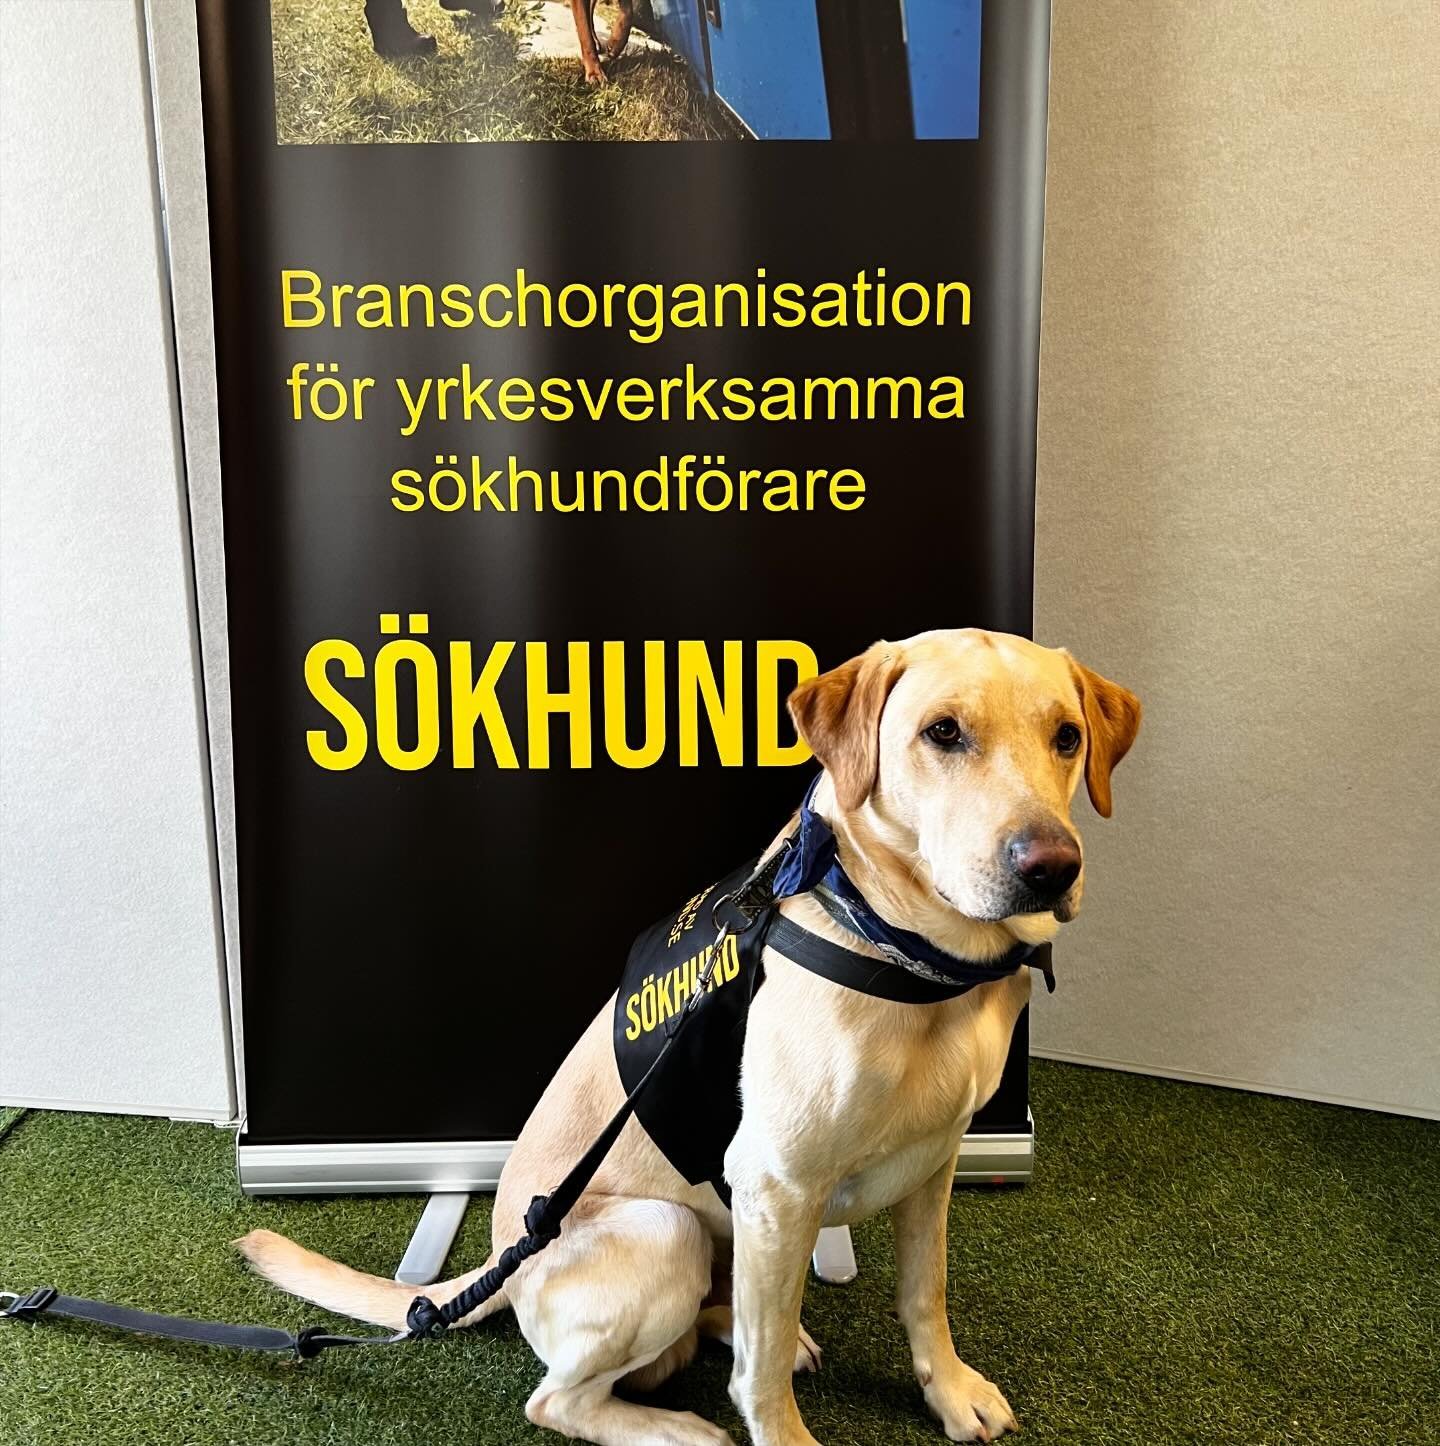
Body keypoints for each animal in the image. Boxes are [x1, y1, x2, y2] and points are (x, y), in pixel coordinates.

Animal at [240, 628, 1141, 1446]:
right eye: (943, 732)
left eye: (1067, 735)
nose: (1051, 867)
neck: (917, 956)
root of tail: (505, 1262)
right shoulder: (779, 1183)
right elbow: (764, 1374)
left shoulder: (935, 1160)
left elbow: (926, 1294)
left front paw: (950, 1391)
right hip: (663, 1232)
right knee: (564, 1397)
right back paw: (678, 1428)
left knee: (724, 1313)